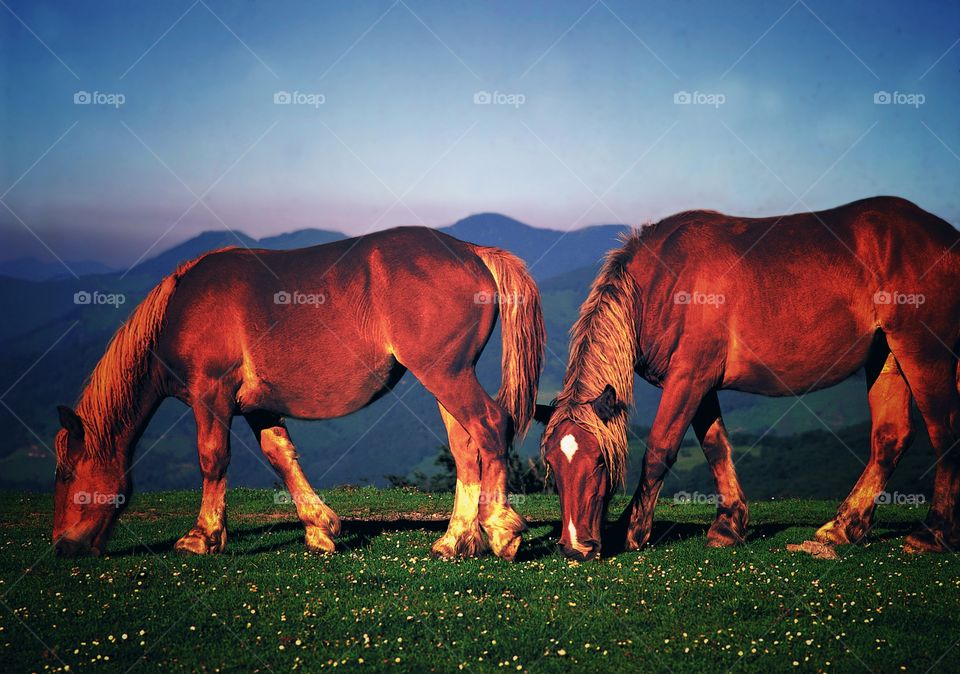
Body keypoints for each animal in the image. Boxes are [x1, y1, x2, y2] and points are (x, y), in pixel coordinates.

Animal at [54, 226, 540, 556]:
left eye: (66, 473)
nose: (62, 546)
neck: (181, 309)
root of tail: (472, 251)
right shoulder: (258, 408)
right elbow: (282, 459)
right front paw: (320, 527)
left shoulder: (211, 394)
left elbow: (212, 459)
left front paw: (202, 536)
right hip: (445, 379)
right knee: (466, 449)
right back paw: (455, 539)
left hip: (447, 375)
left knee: (491, 426)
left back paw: (500, 529)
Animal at [540, 197, 960, 560]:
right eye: (553, 466)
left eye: (599, 462)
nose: (575, 548)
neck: (664, 281)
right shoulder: (700, 383)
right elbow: (716, 448)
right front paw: (728, 525)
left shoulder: (689, 378)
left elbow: (660, 450)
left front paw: (633, 530)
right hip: (887, 356)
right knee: (890, 438)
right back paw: (844, 526)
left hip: (925, 351)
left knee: (944, 434)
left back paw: (932, 533)